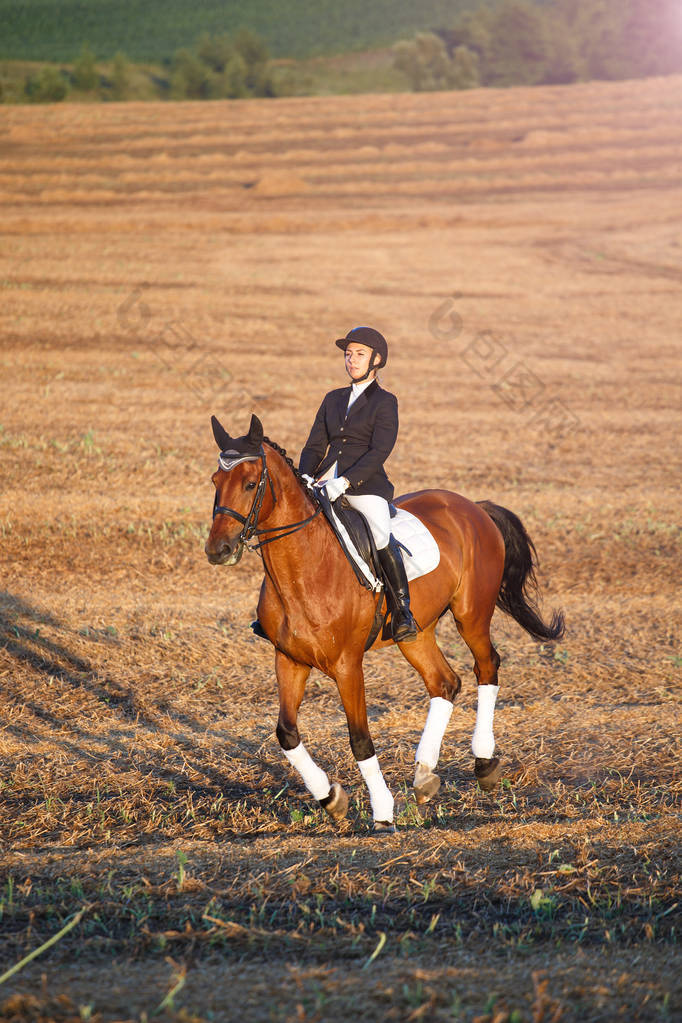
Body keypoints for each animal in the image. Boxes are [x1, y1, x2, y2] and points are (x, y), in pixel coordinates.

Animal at [204, 413, 564, 830]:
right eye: (215, 481)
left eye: (250, 483)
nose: (218, 550)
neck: (305, 568)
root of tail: (471, 505)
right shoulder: (289, 659)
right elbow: (287, 734)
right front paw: (331, 797)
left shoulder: (347, 665)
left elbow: (360, 739)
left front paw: (382, 811)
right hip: (415, 633)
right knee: (444, 682)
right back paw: (424, 775)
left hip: (471, 615)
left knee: (486, 666)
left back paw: (484, 762)